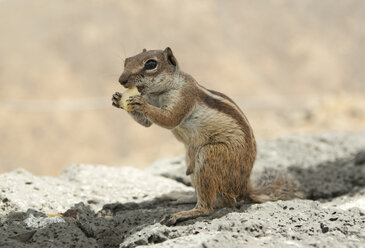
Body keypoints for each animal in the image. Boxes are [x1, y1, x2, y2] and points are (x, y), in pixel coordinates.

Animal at [111, 47, 302, 226]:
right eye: (126, 60)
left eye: (151, 64)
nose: (121, 81)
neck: (159, 92)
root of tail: (244, 187)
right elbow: (146, 123)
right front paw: (117, 98)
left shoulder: (185, 97)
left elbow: (170, 119)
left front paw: (140, 104)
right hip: (192, 163)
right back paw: (181, 196)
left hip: (210, 156)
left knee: (212, 206)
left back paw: (183, 214)